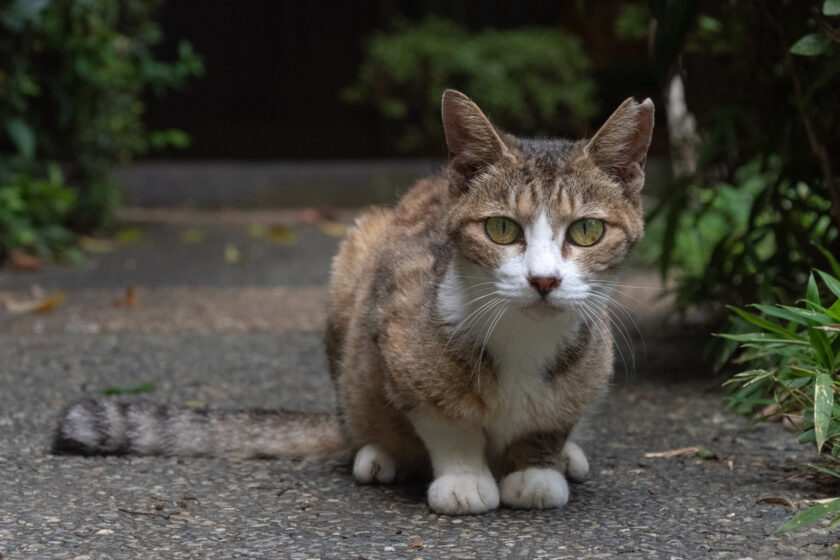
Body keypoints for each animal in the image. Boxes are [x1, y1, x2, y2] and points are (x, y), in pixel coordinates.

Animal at [55, 88, 652, 516]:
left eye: (588, 230)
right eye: (502, 229)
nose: (544, 280)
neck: (524, 340)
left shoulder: (591, 362)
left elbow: (550, 418)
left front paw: (537, 467)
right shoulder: (397, 326)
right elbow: (443, 417)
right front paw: (463, 478)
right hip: (353, 263)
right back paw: (378, 453)